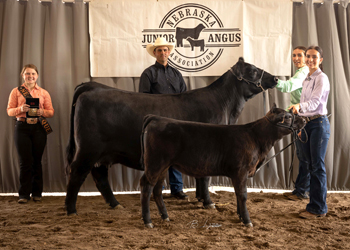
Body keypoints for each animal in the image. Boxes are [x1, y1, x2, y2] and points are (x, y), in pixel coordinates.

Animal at [66, 57, 278, 215]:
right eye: (252, 70)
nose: (275, 78)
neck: (226, 107)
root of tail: (91, 87)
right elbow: (206, 177)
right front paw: (208, 202)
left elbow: (201, 177)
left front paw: (200, 198)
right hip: (88, 148)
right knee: (76, 172)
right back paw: (71, 209)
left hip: (102, 153)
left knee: (99, 175)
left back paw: (115, 204)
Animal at [141, 105, 304, 229]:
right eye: (288, 116)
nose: (303, 119)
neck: (256, 139)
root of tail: (157, 118)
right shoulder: (241, 171)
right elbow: (243, 195)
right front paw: (247, 221)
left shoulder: (239, 174)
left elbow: (237, 194)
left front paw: (240, 216)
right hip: (155, 163)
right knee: (147, 186)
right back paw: (148, 221)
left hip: (163, 166)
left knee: (157, 189)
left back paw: (165, 216)